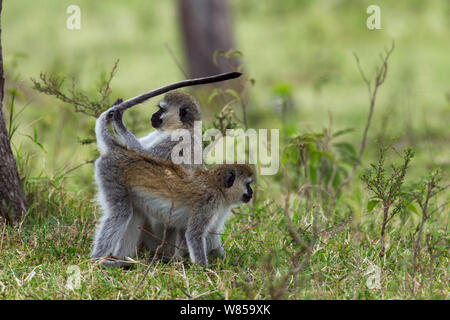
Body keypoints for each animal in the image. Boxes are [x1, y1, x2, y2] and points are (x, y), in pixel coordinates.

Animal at [91, 106, 253, 266]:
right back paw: (98, 260)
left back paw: (123, 259)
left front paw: (227, 261)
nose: (251, 193)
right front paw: (203, 269)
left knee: (134, 215)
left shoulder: (219, 209)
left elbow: (212, 237)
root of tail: (119, 150)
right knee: (120, 213)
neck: (218, 188)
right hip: (111, 175)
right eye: (248, 184)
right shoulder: (208, 203)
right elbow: (194, 235)